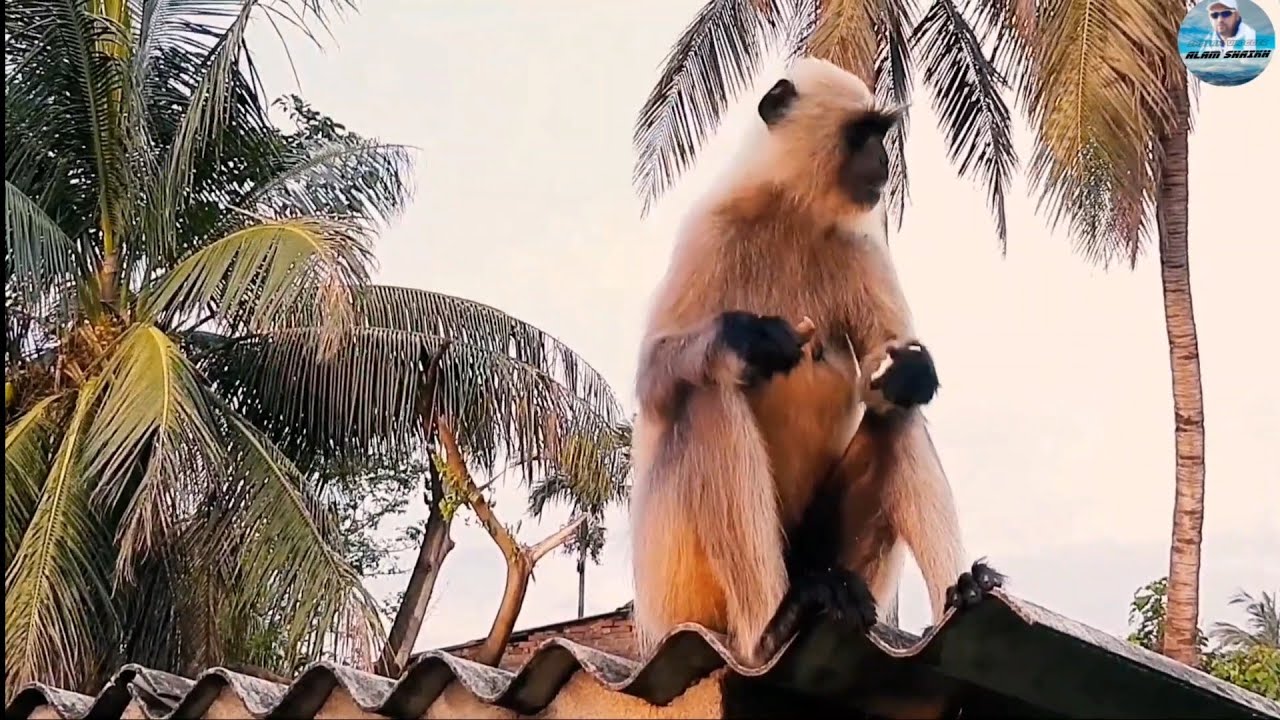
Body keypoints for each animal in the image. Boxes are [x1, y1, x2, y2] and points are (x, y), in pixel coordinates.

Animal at [628, 56, 1004, 667]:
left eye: (881, 134)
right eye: (861, 135)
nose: (883, 160)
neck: (792, 211)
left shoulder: (862, 246)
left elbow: (886, 373)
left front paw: (911, 371)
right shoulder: (709, 228)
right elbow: (652, 379)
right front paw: (748, 338)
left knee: (895, 412)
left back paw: (962, 591)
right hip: (678, 590)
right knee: (703, 396)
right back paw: (771, 625)